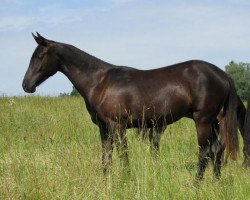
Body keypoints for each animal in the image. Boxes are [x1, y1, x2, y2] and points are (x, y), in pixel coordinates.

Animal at [23, 33, 238, 180]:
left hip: (203, 121)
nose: (26, 85)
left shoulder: (118, 126)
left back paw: (196, 183)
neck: (99, 82)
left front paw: (126, 178)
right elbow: (106, 155)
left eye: (40, 56)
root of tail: (222, 74)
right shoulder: (104, 128)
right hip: (215, 122)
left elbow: (122, 153)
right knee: (218, 149)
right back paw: (216, 181)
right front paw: (106, 180)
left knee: (205, 151)